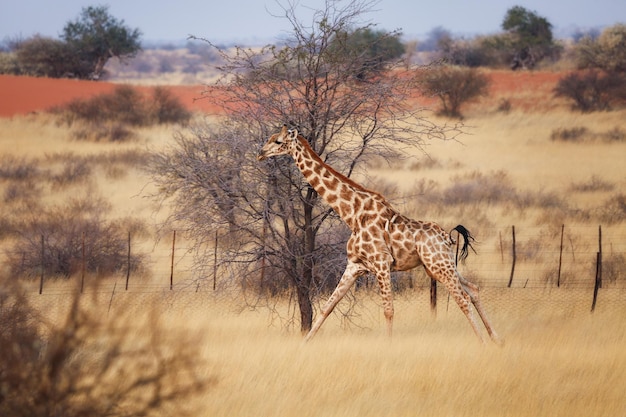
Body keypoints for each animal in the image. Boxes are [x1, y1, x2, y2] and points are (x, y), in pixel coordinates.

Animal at [256, 124, 500, 344]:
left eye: (278, 141)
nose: (260, 153)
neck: (352, 214)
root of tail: (447, 237)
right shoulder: (355, 265)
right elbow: (327, 306)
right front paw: (304, 344)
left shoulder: (382, 263)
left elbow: (388, 310)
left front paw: (388, 347)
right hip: (441, 265)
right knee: (474, 290)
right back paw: (496, 339)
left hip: (438, 265)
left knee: (463, 298)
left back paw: (483, 341)